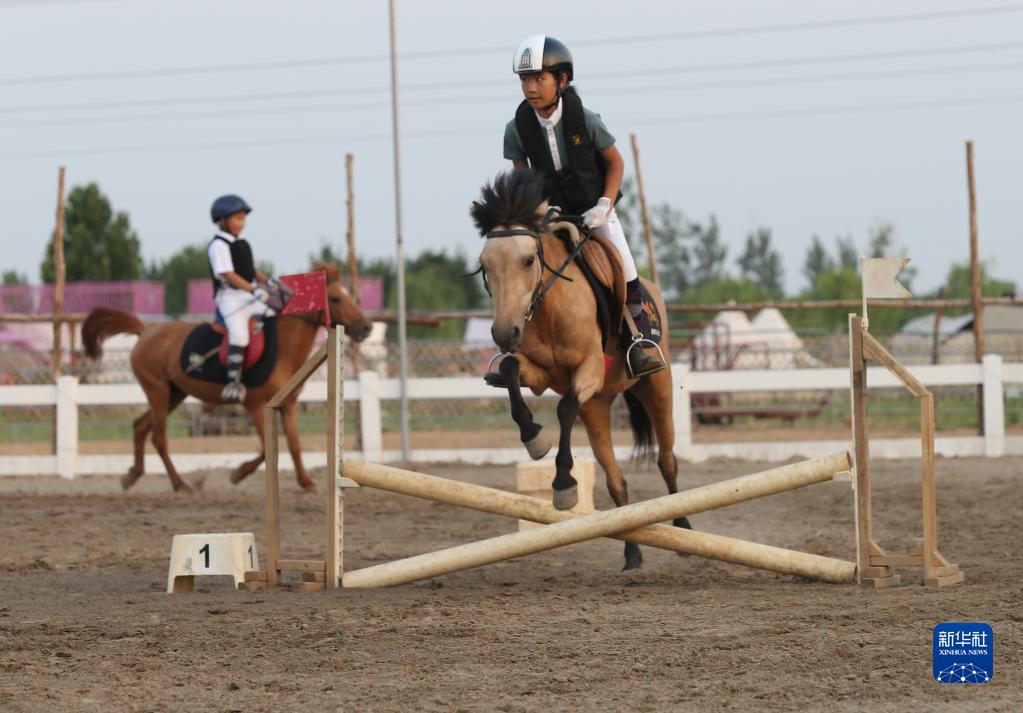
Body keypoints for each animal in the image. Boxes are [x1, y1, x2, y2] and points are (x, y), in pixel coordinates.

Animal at [82, 263, 372, 493]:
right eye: (335, 298)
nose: (367, 327)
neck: (282, 348)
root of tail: (145, 331)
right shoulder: (257, 406)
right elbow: (269, 448)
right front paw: (238, 473)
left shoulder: (287, 405)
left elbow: (293, 445)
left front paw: (306, 482)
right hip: (158, 391)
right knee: (159, 438)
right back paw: (180, 484)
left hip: (174, 393)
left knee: (141, 426)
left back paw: (132, 475)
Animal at [472, 169, 695, 568]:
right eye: (485, 264)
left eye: (528, 261)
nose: (503, 332)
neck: (548, 306)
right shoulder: (542, 375)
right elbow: (512, 370)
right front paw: (533, 438)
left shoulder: (588, 368)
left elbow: (564, 409)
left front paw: (564, 485)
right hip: (598, 407)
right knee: (616, 480)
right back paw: (632, 552)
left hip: (657, 388)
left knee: (667, 460)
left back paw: (683, 528)